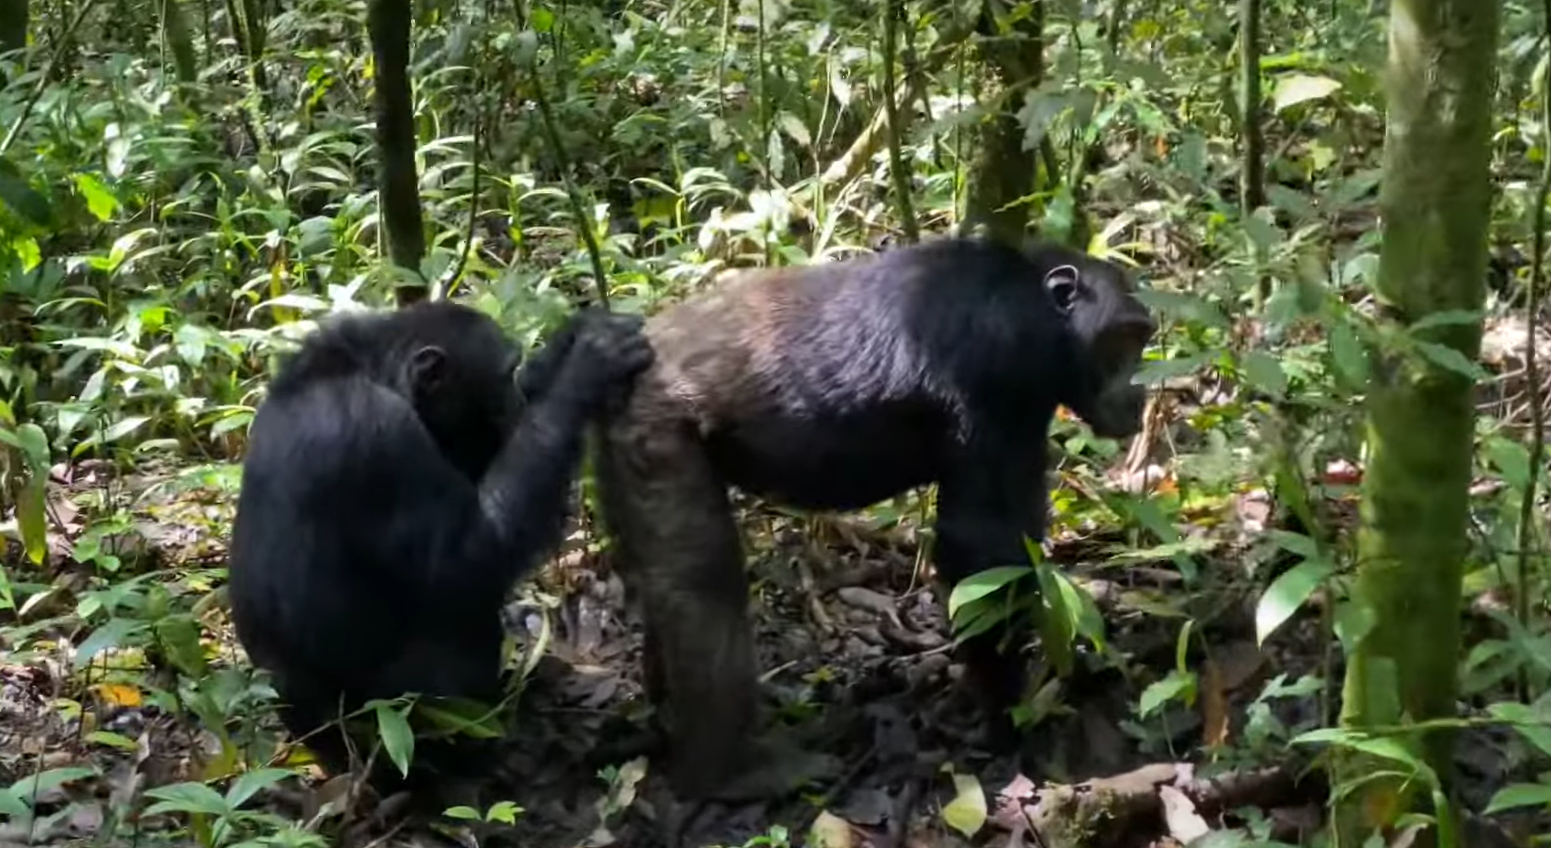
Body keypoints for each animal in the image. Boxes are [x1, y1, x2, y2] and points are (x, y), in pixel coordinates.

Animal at [226, 302, 651, 799]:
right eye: (504, 374)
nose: (516, 399)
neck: (371, 372)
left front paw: (570, 339)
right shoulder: (380, 434)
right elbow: (469, 557)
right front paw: (587, 366)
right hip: (389, 724)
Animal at [598, 234, 1160, 806]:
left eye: (1141, 339)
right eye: (1123, 341)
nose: (1140, 390)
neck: (1040, 310)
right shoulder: (1000, 366)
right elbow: (981, 545)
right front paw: (1007, 714)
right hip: (659, 429)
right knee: (703, 588)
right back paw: (727, 772)